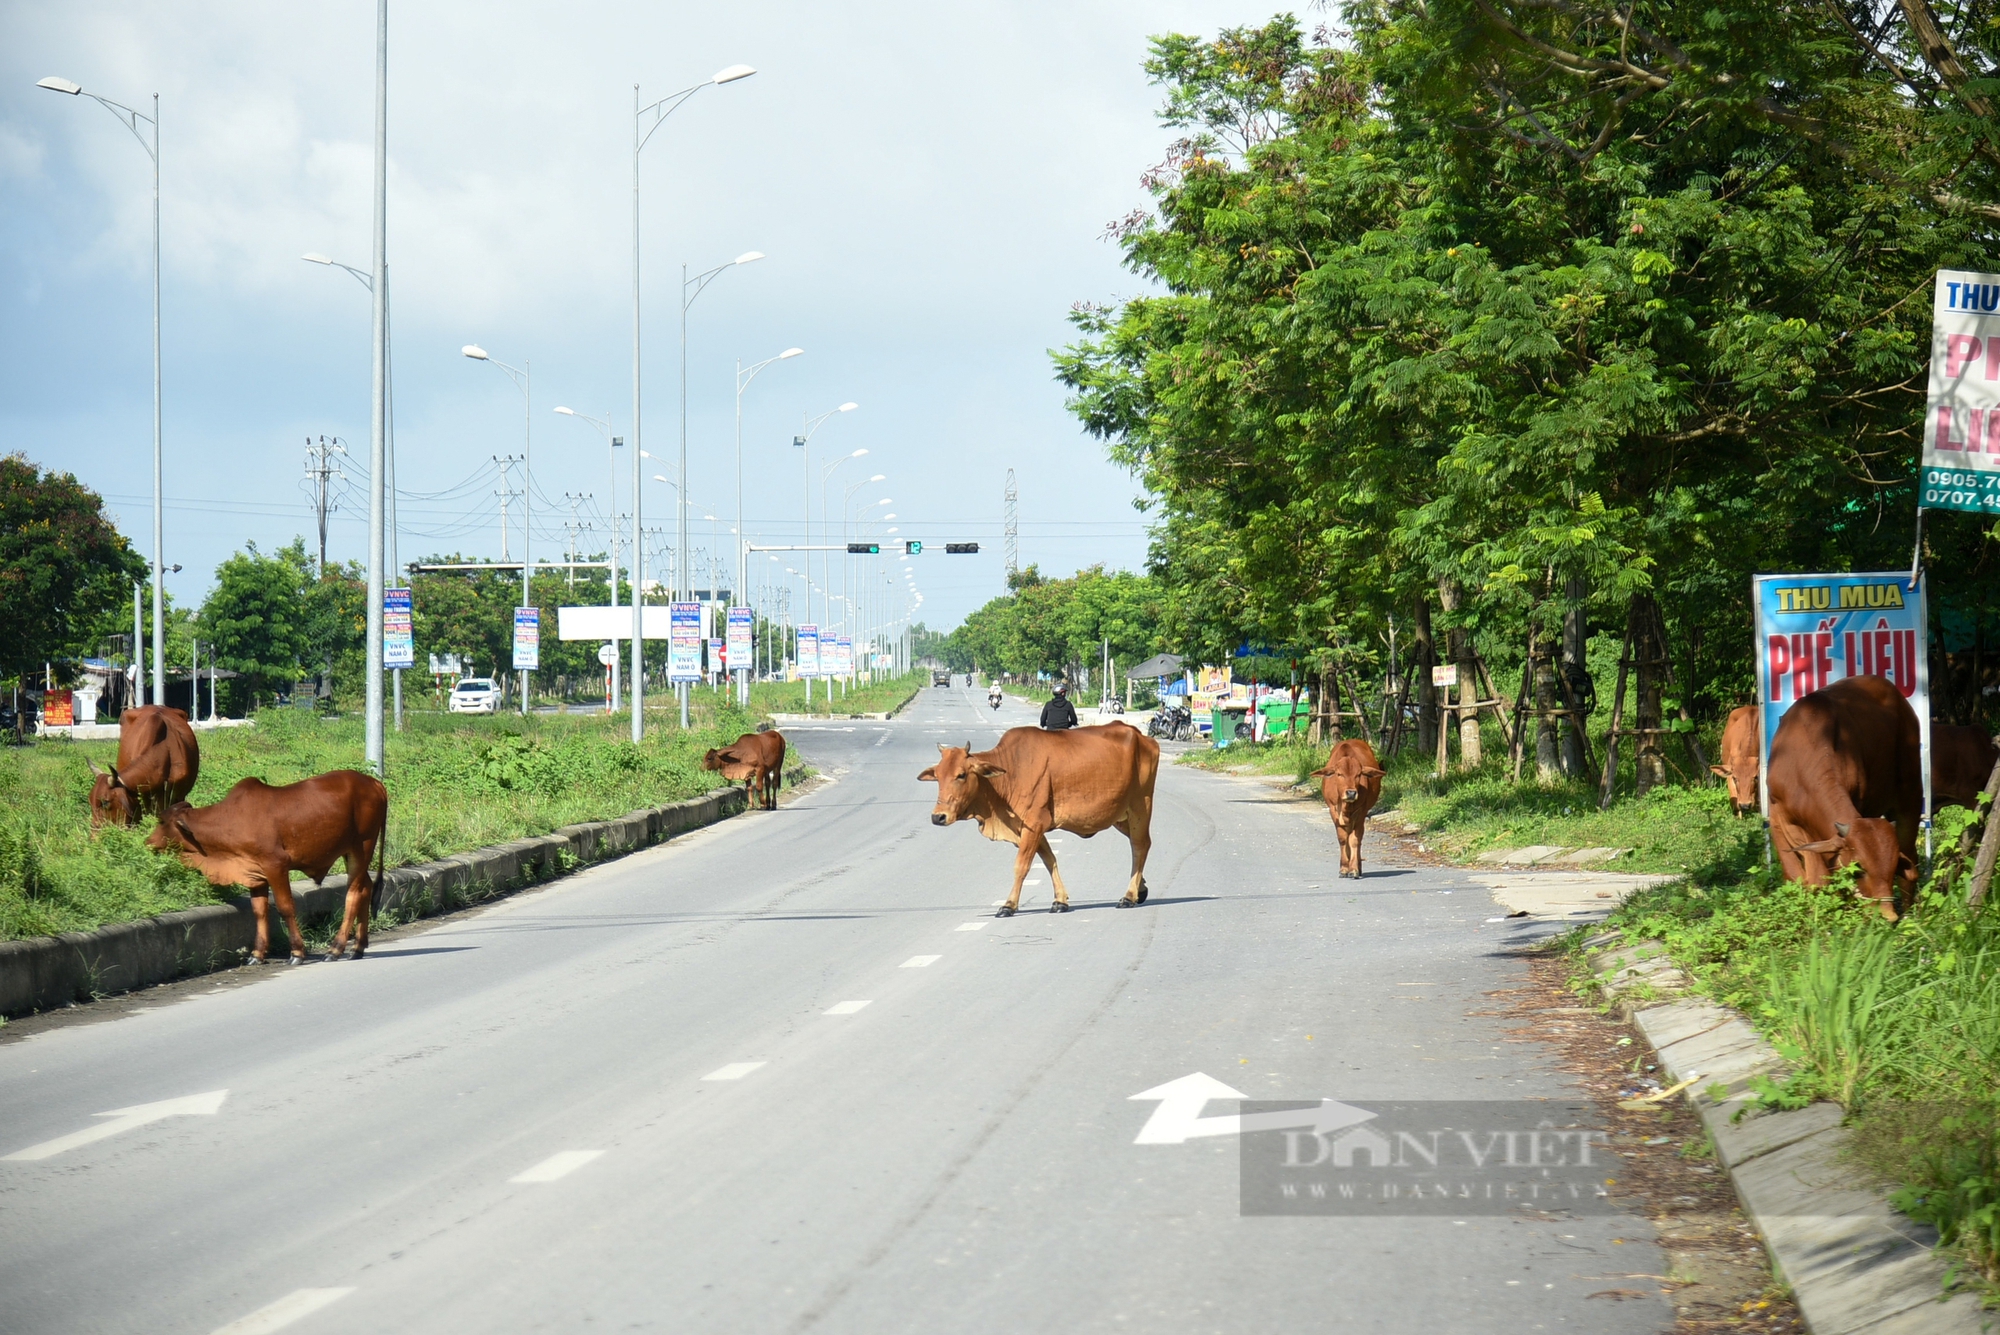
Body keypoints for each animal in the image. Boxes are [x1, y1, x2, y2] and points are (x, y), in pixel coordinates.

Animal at [146, 767, 388, 963]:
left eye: (161, 821)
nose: (147, 842)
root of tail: (374, 783)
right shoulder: (254, 872)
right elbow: (259, 911)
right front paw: (257, 954)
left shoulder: (276, 866)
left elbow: (285, 908)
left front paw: (297, 953)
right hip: (351, 852)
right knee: (366, 888)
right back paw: (358, 948)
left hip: (362, 846)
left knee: (354, 894)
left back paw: (335, 949)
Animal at [916, 719, 1168, 919]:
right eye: (937, 776)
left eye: (961, 775)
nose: (938, 816)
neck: (1009, 773)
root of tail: (1143, 736)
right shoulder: (1028, 828)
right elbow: (1049, 859)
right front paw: (1060, 901)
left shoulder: (1034, 823)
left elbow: (1022, 866)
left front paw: (1008, 905)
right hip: (1120, 816)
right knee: (1137, 844)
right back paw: (1140, 889)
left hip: (1140, 807)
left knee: (1140, 845)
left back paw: (1129, 896)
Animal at [1304, 735, 1384, 879]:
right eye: (1339, 774)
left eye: (1359, 774)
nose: (1351, 793)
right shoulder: (1333, 810)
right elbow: (1342, 838)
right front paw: (1344, 868)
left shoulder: (1361, 811)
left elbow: (1355, 840)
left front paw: (1353, 869)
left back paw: (1358, 866)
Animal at [1768, 679, 1920, 919]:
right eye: (1858, 869)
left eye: (1893, 864)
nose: (1887, 917)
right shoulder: (1776, 813)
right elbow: (1797, 876)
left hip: (1910, 794)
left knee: (1911, 859)